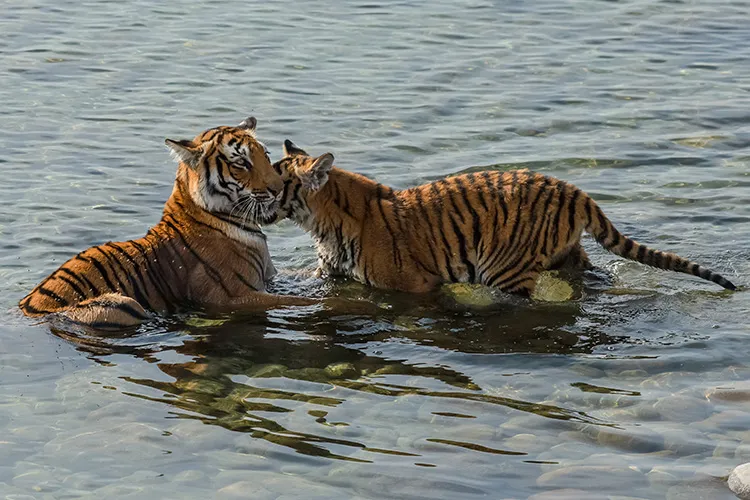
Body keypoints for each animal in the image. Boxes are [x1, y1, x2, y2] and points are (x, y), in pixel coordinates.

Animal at [17, 116, 318, 328]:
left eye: (265, 155)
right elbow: (297, 301)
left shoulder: (271, 277)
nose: (278, 189)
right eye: (241, 163)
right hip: (121, 305)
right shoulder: (234, 297)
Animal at [268, 140, 736, 296]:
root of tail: (574, 190)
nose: (256, 196)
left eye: (273, 180)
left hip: (505, 268)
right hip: (569, 255)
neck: (321, 224)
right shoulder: (327, 274)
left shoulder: (415, 285)